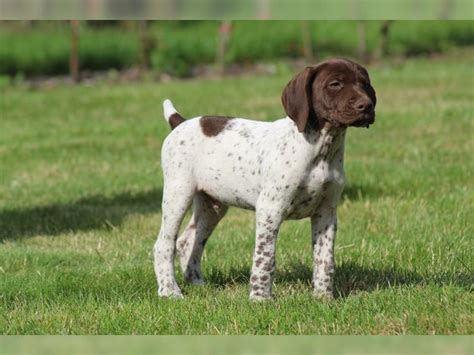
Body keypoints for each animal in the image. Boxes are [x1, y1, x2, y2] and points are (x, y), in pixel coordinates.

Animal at [154, 58, 376, 300]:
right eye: (335, 84)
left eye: (365, 83)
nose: (366, 106)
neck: (322, 149)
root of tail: (181, 122)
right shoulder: (270, 208)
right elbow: (265, 257)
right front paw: (260, 298)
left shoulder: (326, 212)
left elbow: (324, 260)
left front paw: (323, 297)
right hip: (178, 194)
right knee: (164, 244)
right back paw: (169, 291)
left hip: (212, 204)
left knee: (187, 241)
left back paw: (197, 283)